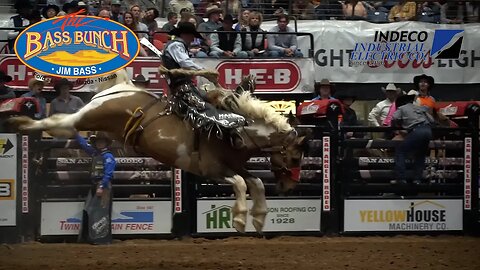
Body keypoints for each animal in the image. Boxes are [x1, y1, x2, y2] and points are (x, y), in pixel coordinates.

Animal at [6, 68, 308, 234]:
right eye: (294, 156)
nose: (290, 187)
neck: (234, 130)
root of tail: (122, 87)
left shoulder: (236, 167)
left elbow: (255, 182)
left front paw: (258, 218)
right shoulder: (212, 170)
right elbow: (241, 184)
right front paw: (239, 219)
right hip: (88, 116)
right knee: (58, 122)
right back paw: (20, 122)